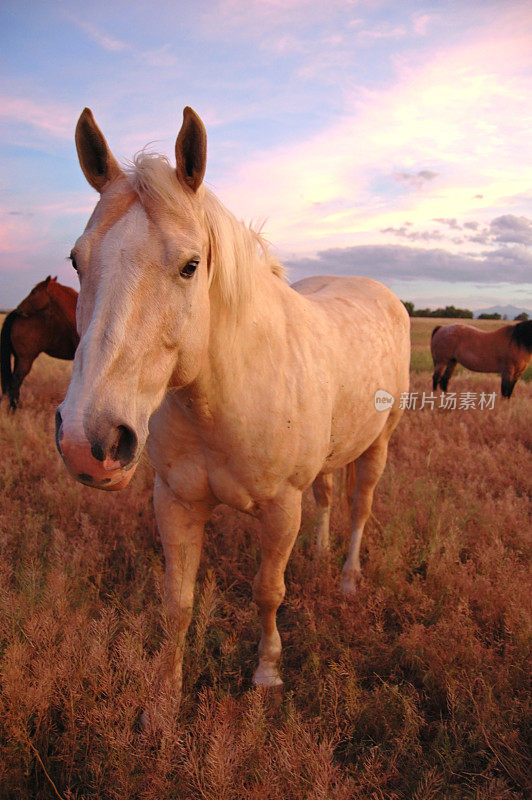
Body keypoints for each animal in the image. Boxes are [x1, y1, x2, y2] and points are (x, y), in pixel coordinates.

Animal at [0, 276, 78, 412]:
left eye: (33, 292)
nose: (19, 309)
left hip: (19, 359)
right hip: (26, 360)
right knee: (15, 383)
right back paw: (13, 410)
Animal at [55, 106, 412, 700]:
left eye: (190, 265)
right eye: (77, 261)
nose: (89, 442)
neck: (223, 397)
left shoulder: (281, 508)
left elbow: (268, 591)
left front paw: (266, 674)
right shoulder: (175, 502)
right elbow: (176, 604)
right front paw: (163, 702)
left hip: (377, 445)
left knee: (360, 506)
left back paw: (346, 579)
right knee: (328, 496)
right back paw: (320, 554)